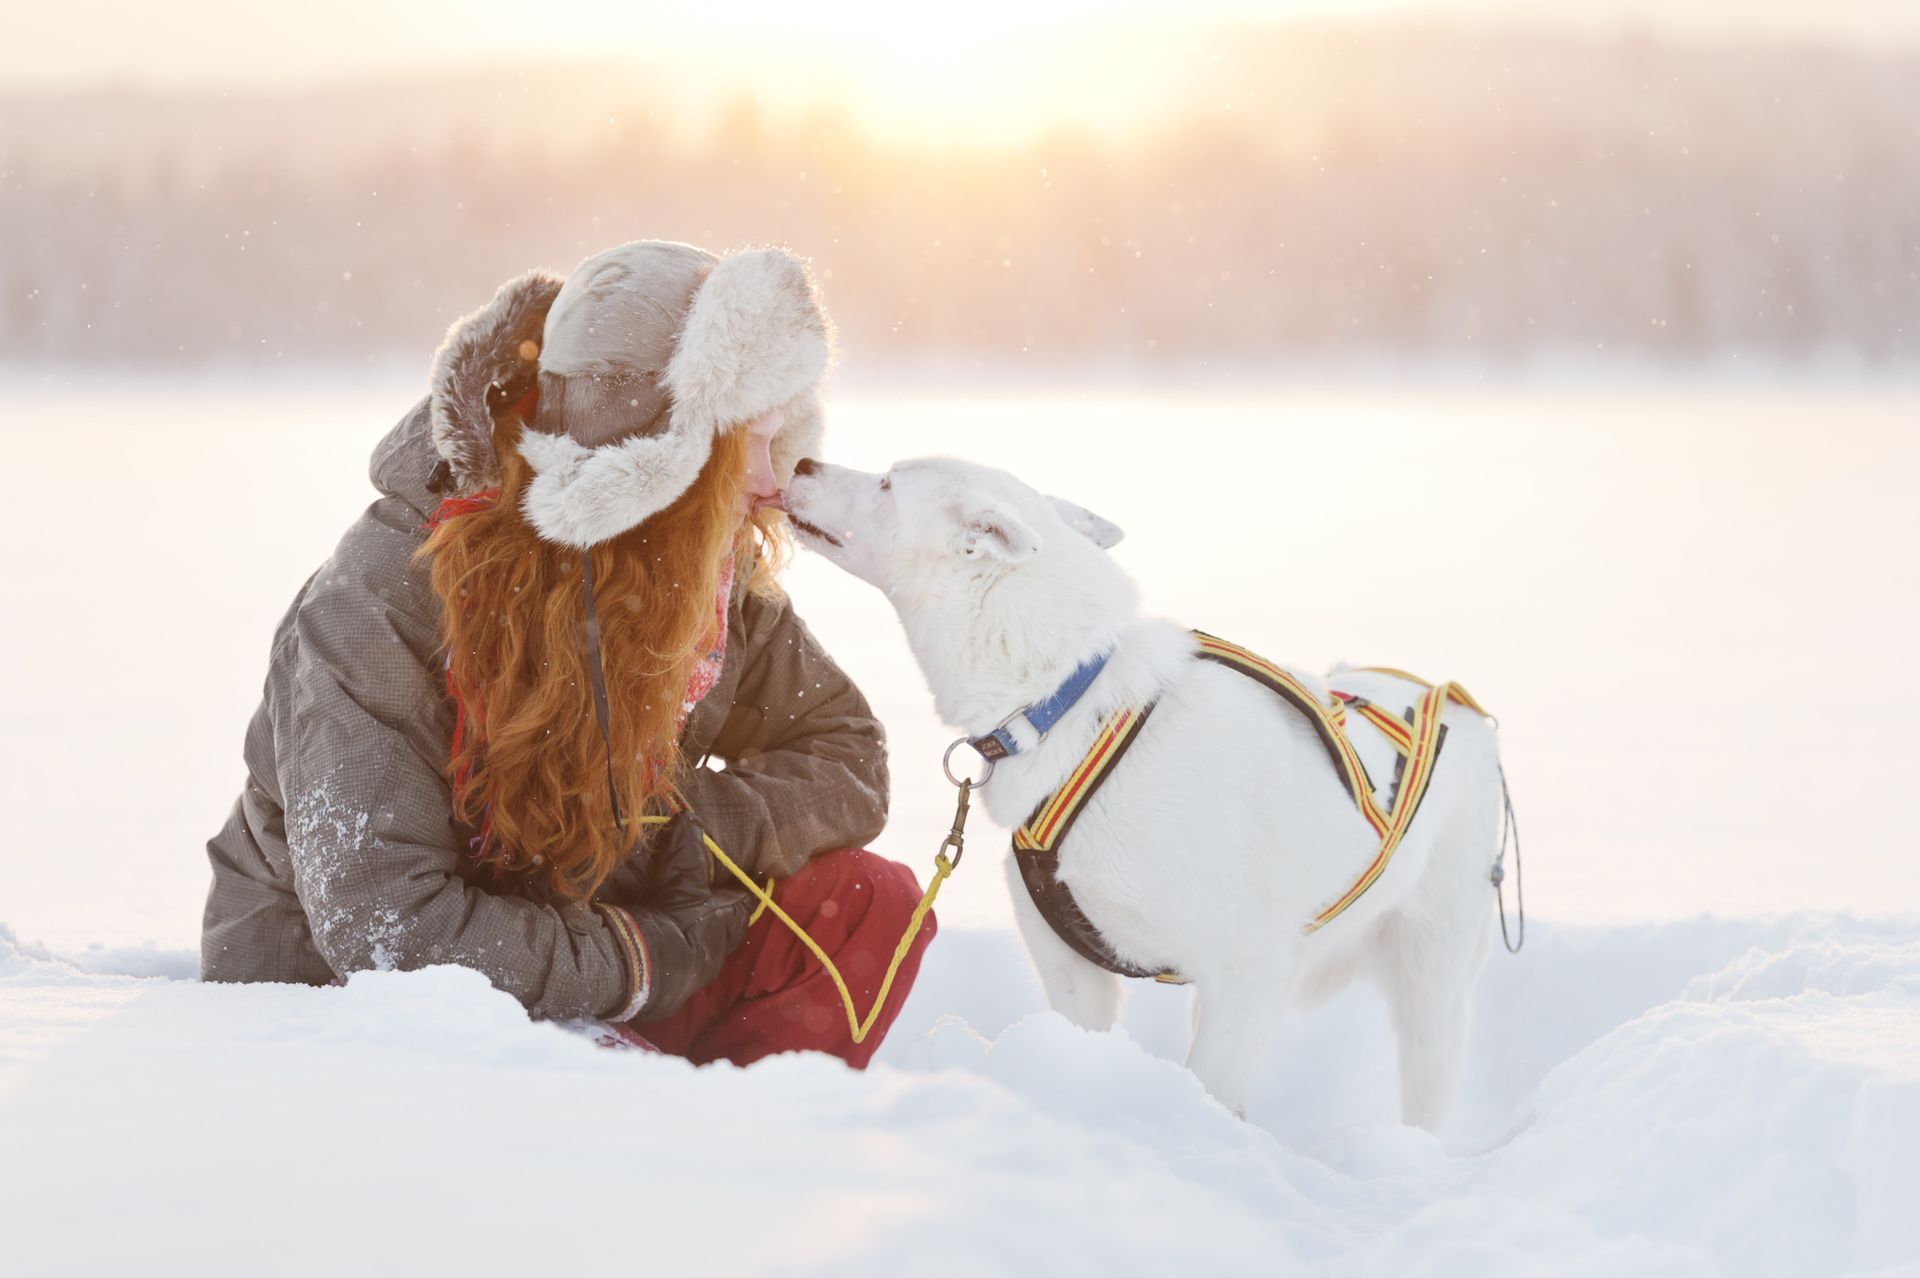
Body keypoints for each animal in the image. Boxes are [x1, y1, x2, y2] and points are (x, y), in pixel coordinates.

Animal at [779, 452, 1497, 1120]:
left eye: (887, 482)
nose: (803, 462)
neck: (1068, 703)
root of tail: (1450, 699)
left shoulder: (1250, 970)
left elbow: (1212, 1085)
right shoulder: (1071, 967)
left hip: (1431, 979)